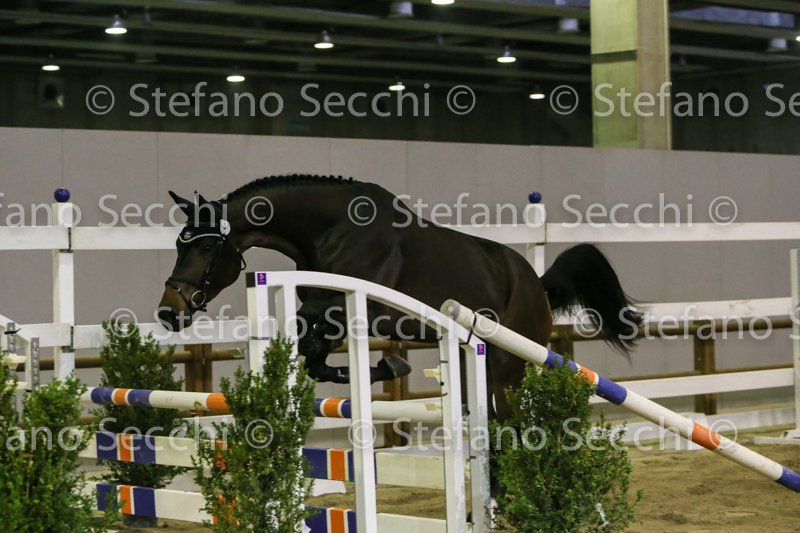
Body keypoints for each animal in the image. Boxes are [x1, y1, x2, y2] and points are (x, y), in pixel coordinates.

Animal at [156, 175, 641, 420]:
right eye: (179, 244)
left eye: (204, 248)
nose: (169, 312)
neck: (333, 232)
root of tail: (536, 284)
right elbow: (314, 355)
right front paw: (387, 367)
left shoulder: (356, 310)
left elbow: (314, 336)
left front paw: (391, 366)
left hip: (509, 364)